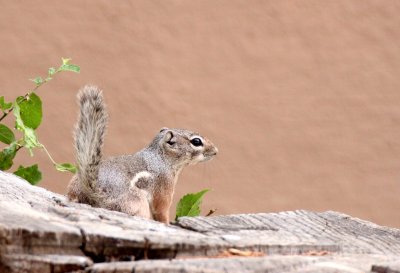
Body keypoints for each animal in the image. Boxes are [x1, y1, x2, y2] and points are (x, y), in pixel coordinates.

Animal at [68, 85, 219, 223]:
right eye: (196, 141)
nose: (216, 151)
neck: (161, 157)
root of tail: (93, 191)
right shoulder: (164, 185)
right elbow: (161, 210)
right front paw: (167, 223)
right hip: (138, 203)